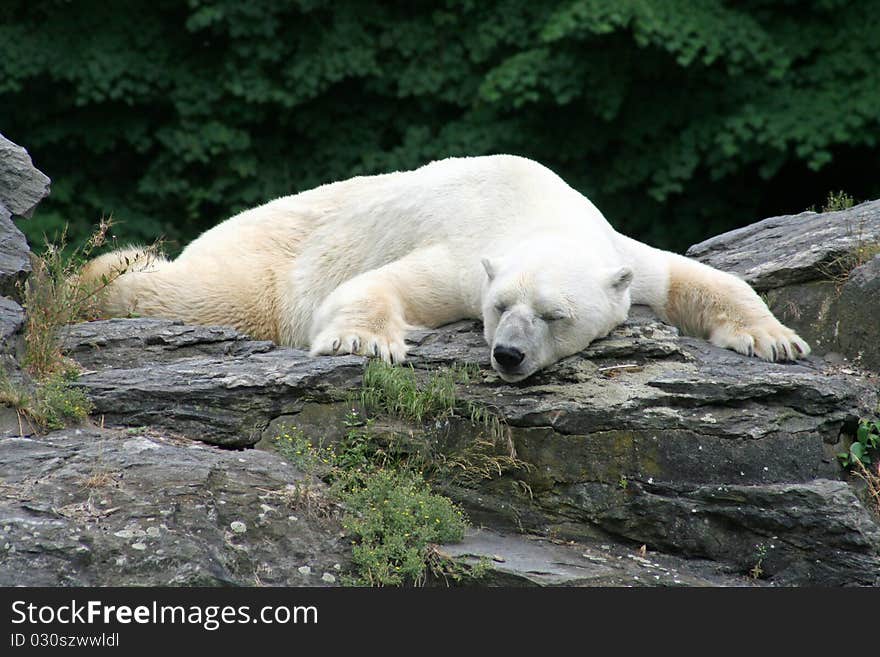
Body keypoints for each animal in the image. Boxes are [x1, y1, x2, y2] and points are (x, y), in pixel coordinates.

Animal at [82, 154, 812, 382]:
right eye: (498, 308)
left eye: (553, 315)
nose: (508, 355)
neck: (540, 205)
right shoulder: (468, 254)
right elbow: (385, 282)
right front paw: (363, 341)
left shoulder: (617, 252)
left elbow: (690, 276)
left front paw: (775, 339)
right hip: (258, 258)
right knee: (197, 291)